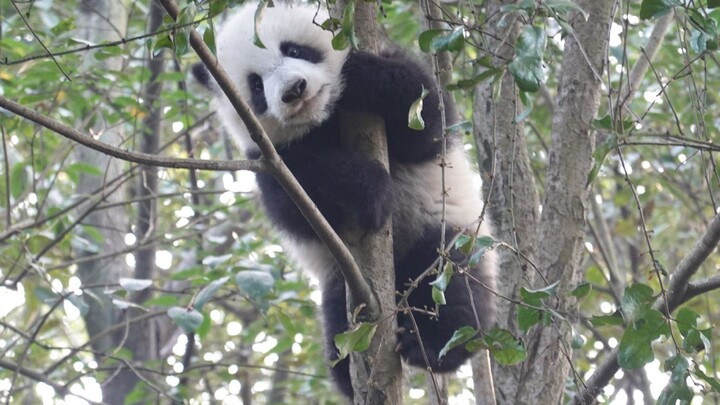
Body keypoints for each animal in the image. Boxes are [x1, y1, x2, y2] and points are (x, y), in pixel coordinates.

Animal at [191, 1, 496, 396]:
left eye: (294, 50)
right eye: (256, 85)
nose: (294, 90)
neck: (324, 119)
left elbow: (425, 122)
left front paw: (361, 76)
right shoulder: (268, 159)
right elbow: (298, 202)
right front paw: (371, 190)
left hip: (445, 233)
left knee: (450, 284)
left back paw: (431, 346)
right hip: (341, 280)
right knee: (339, 322)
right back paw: (349, 376)